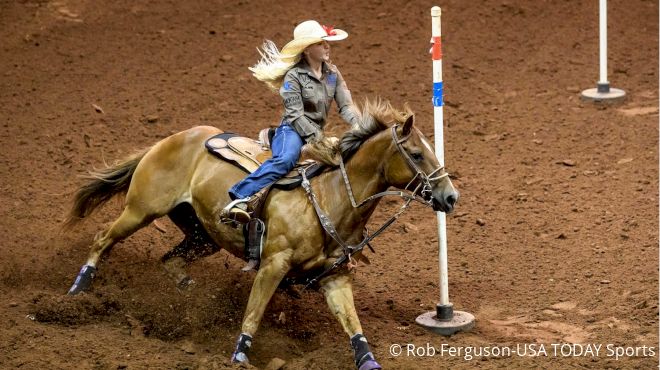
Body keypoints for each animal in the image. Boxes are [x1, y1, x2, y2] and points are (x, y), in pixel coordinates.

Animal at [65, 99, 458, 368]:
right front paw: (239, 356)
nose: (450, 196)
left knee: (170, 261)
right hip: (141, 210)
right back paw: (77, 291)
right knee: (102, 239)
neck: (328, 198)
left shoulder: (334, 277)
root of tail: (172, 139)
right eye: (416, 154)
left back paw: (191, 298)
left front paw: (369, 360)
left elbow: (352, 323)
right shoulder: (272, 265)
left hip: (201, 236)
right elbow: (254, 312)